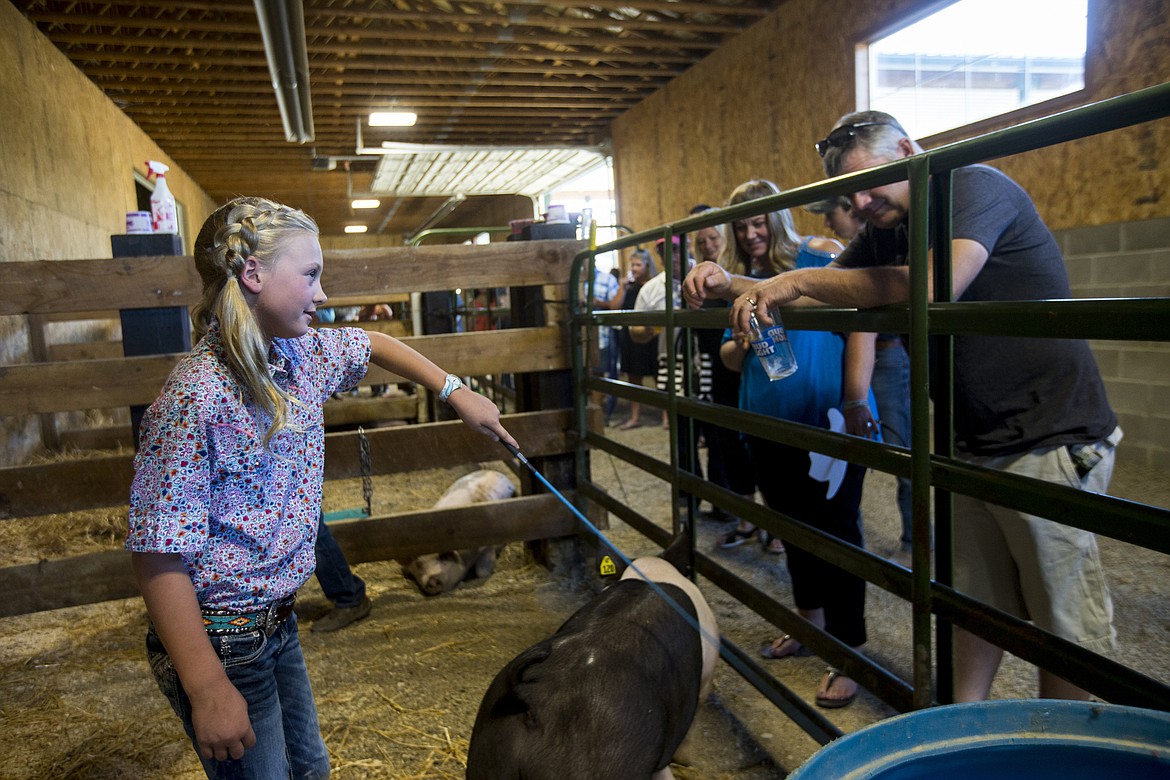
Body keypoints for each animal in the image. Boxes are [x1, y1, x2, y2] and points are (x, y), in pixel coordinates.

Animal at [397, 470, 512, 598]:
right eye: (419, 564)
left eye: (443, 557)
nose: (432, 580)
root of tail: (495, 472)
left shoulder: (487, 545)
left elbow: (482, 572)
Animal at [460, 537, 716, 780]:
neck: (652, 574)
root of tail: (531, 695)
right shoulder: (704, 680)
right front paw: (686, 760)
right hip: (599, 758)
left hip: (487, 749)